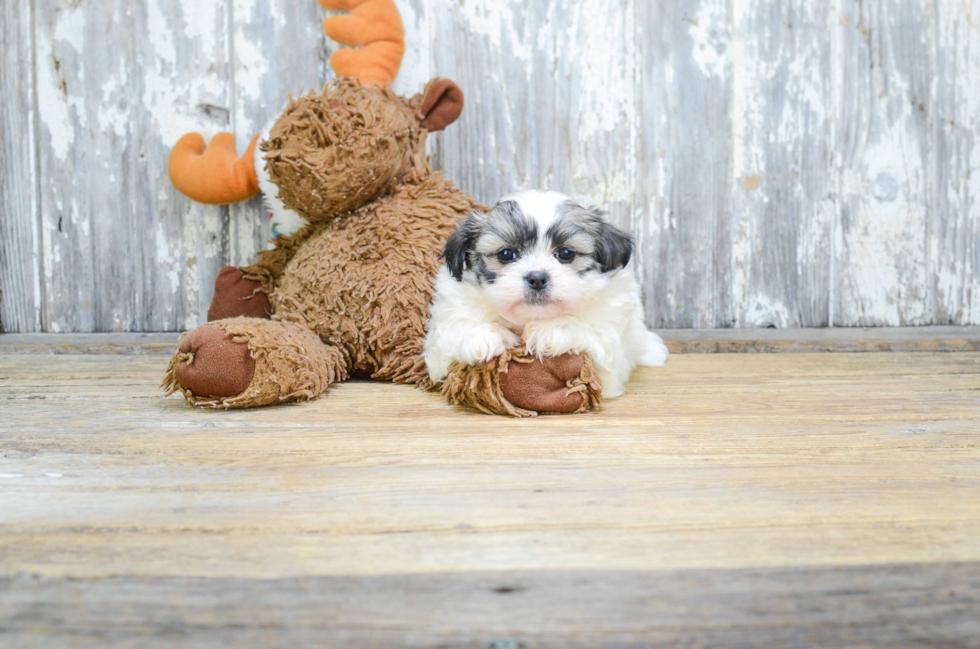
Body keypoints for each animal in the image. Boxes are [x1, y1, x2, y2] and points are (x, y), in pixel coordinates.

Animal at [424, 189, 668, 400]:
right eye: (506, 254)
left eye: (566, 253)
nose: (537, 278)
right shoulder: (442, 338)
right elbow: (454, 332)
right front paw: (485, 337)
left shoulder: (610, 338)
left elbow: (591, 335)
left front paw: (550, 330)